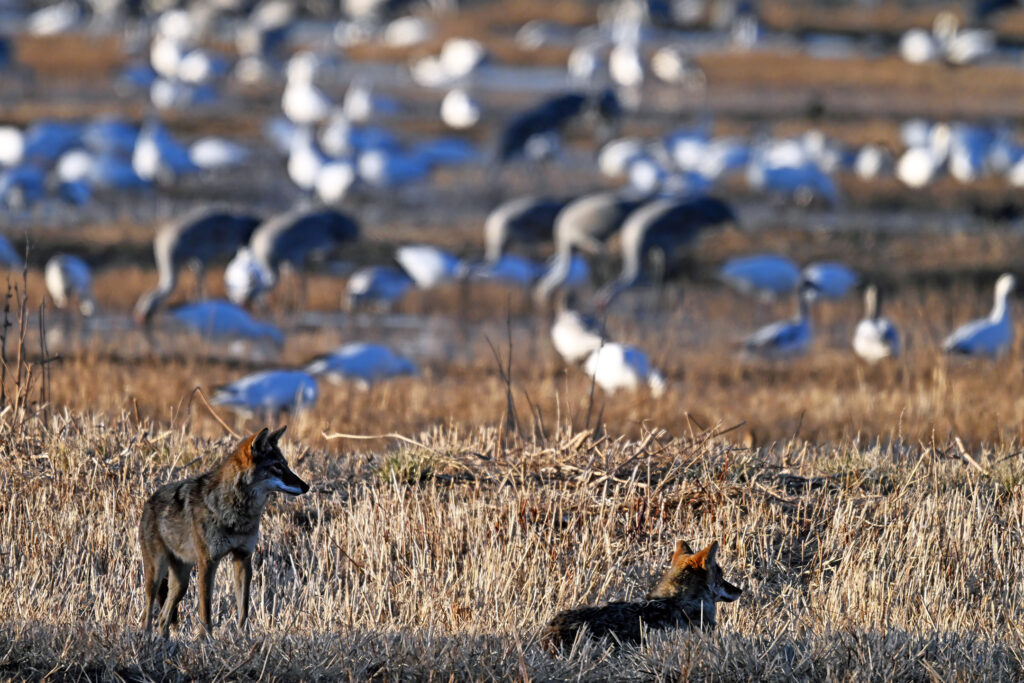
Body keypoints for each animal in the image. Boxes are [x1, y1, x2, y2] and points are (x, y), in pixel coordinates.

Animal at [138, 423, 309, 638]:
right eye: (277, 466)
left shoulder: (243, 558)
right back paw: (146, 639)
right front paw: (205, 639)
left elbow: (244, 608)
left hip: (181, 582)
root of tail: (149, 501)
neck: (238, 512)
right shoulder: (208, 562)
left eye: (285, 464)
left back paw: (164, 641)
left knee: (163, 617)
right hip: (156, 574)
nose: (306, 486)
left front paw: (243, 637)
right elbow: (206, 609)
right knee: (148, 613)